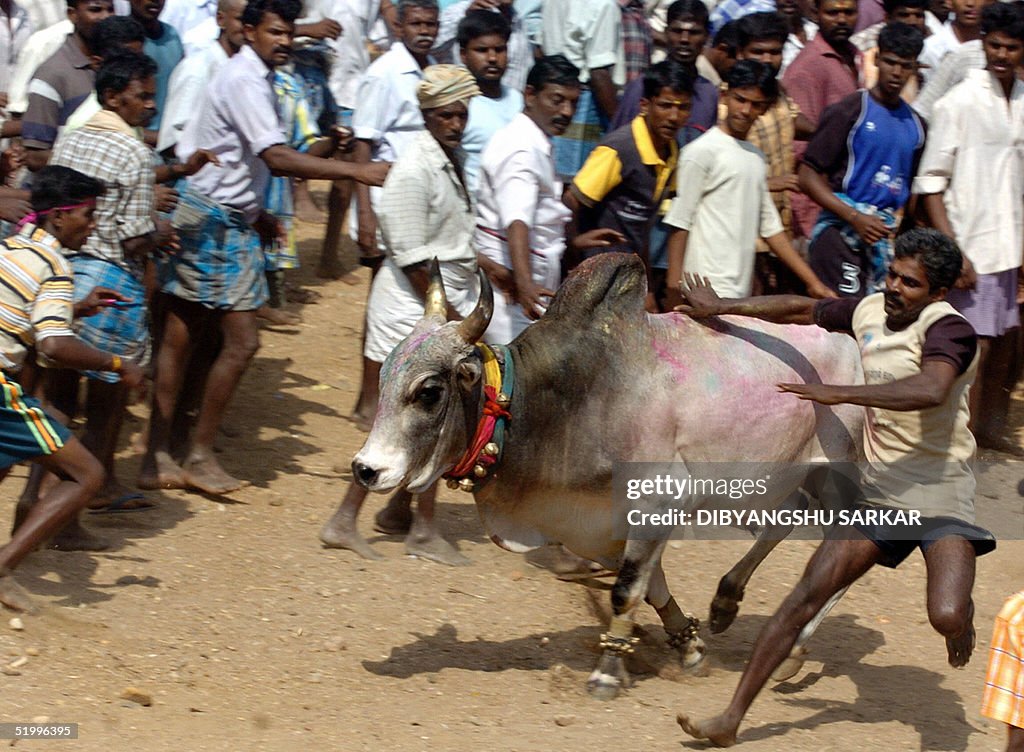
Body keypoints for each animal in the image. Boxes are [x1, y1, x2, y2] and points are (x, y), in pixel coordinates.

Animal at [352, 253, 864, 700]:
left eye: (429, 391)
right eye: (384, 378)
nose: (365, 469)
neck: (568, 402)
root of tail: (852, 341)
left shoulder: (657, 503)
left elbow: (625, 591)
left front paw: (607, 672)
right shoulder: (600, 525)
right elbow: (651, 587)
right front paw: (691, 649)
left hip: (834, 470)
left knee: (842, 540)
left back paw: (794, 651)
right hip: (769, 479)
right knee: (786, 518)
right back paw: (726, 602)